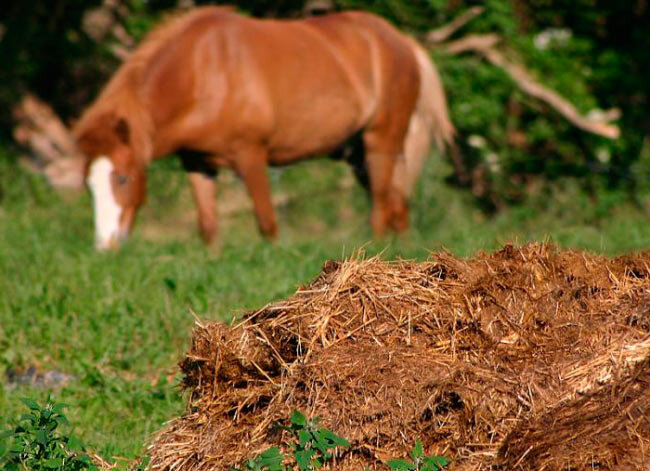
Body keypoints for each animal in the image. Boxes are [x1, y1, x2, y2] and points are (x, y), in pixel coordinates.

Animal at [74, 6, 450, 251]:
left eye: (123, 178)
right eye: (89, 185)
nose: (105, 245)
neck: (202, 72)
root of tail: (402, 41)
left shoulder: (251, 155)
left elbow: (267, 223)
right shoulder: (197, 163)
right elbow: (208, 226)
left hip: (381, 141)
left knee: (382, 205)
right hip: (357, 154)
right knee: (398, 202)